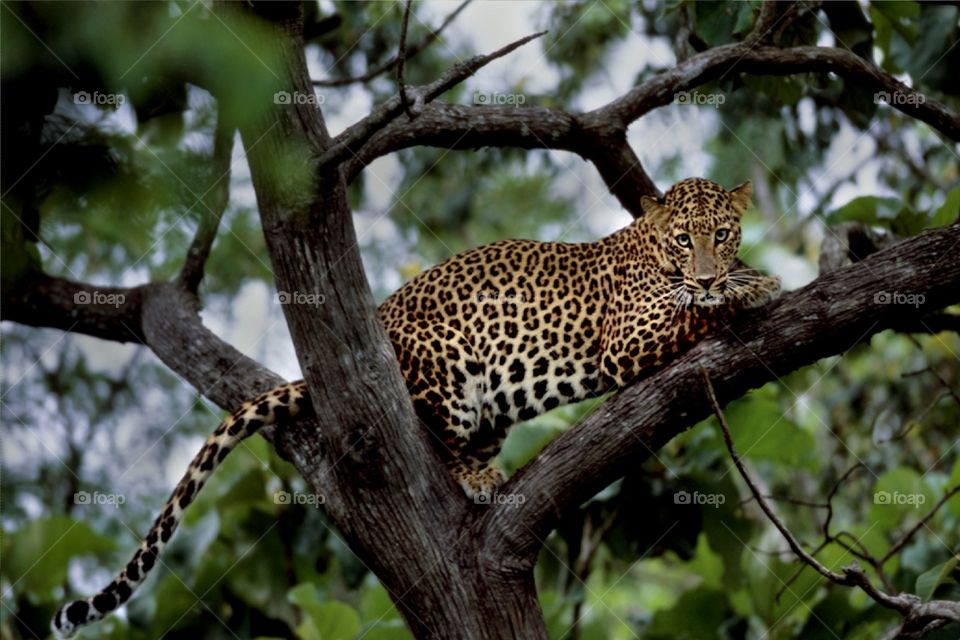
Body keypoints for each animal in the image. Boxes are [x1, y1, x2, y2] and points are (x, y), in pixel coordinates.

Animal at [52, 177, 780, 638]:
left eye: (722, 233)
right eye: (684, 241)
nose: (709, 272)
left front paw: (748, 279)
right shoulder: (626, 338)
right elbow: (690, 314)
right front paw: (748, 290)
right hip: (445, 366)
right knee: (433, 438)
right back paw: (470, 475)